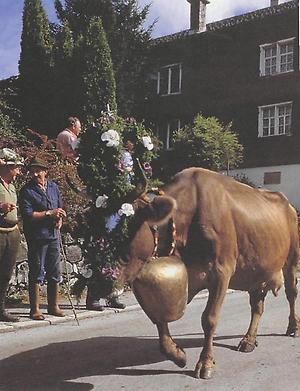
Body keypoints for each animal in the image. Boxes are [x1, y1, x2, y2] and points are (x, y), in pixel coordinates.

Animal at [116, 168, 300, 380]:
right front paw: (178, 354)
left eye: (127, 228)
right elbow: (160, 319)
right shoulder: (182, 279)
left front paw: (205, 363)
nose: (106, 281)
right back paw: (249, 340)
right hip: (256, 269)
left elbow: (209, 318)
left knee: (291, 293)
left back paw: (293, 327)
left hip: (291, 259)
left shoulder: (221, 272)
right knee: (257, 306)